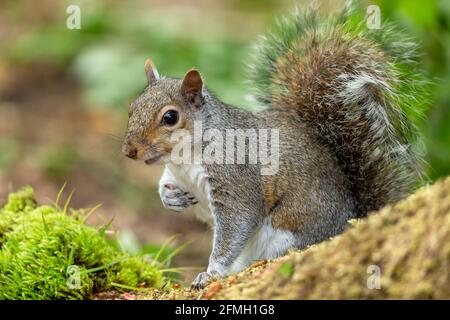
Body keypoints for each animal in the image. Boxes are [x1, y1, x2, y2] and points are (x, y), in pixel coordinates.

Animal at [122, 3, 426, 288]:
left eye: (170, 117)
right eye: (133, 107)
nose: (129, 151)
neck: (184, 159)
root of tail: (356, 216)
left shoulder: (236, 177)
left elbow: (236, 224)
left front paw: (211, 273)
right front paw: (170, 197)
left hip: (288, 232)